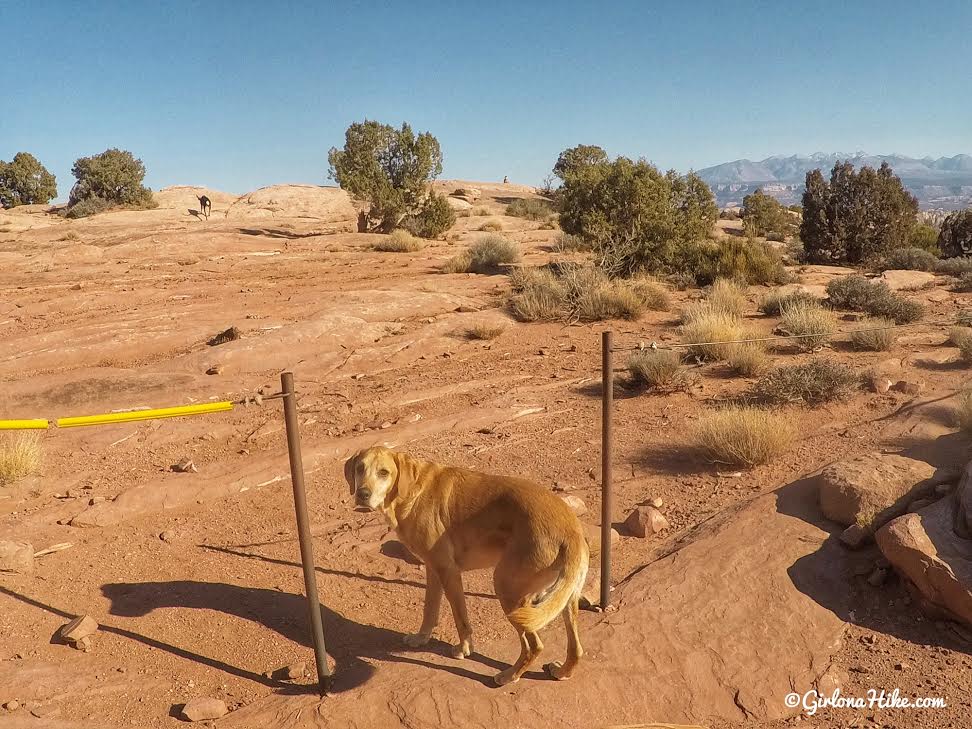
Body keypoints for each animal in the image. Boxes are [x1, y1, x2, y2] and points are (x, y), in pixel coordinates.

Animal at [346, 440, 588, 684]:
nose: (362, 494)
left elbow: (460, 617)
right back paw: (562, 671)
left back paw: (509, 676)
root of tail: (572, 533)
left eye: (384, 472)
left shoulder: (448, 571)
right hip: (565, 598)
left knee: (534, 646)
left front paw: (464, 649)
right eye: (360, 468)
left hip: (507, 589)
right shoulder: (433, 569)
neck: (412, 491)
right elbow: (429, 609)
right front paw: (421, 638)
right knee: (576, 648)